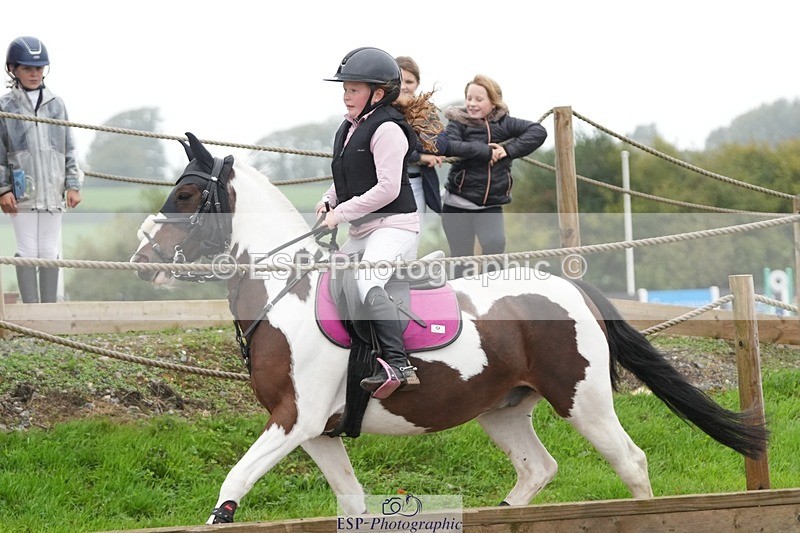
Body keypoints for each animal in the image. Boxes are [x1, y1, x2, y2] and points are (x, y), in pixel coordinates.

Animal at [130, 133, 767, 525]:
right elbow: (352, 502)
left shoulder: (294, 419)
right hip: (502, 409)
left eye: (187, 192)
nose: (140, 260)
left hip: (582, 399)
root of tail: (569, 286)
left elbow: (231, 489)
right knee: (539, 468)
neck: (284, 291)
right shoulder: (316, 432)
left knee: (630, 462)